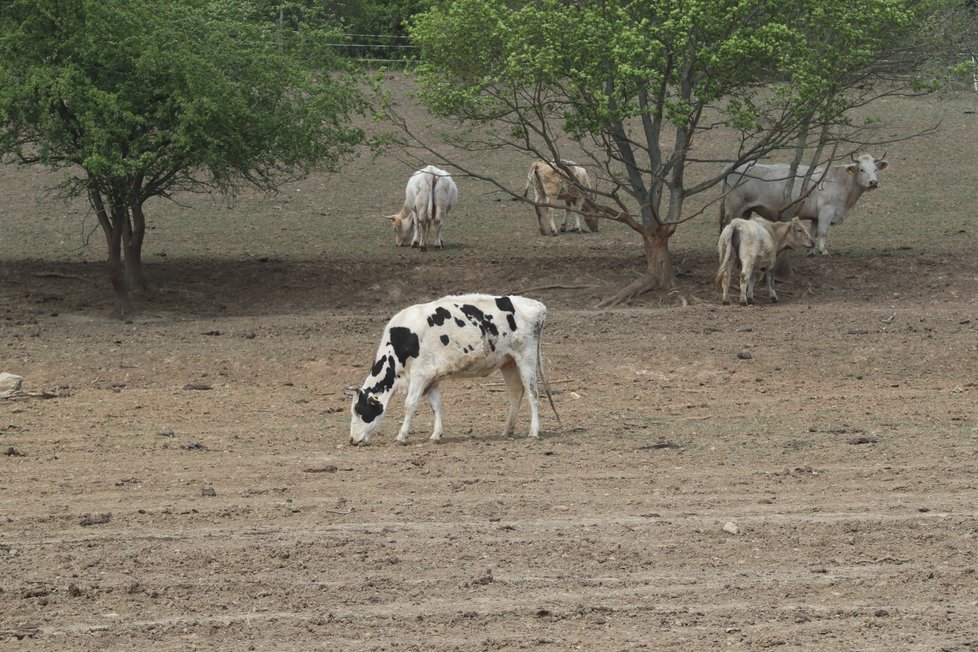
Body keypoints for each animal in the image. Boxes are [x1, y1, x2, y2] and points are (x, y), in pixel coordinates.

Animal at [348, 292, 556, 446]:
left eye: (359, 410)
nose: (352, 440)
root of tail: (537, 305)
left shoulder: (419, 375)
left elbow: (409, 405)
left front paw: (401, 436)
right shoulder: (431, 379)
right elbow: (436, 406)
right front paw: (436, 435)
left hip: (526, 357)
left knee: (532, 392)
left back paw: (534, 432)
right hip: (508, 362)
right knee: (516, 392)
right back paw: (506, 430)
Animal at [716, 152, 884, 255]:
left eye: (875, 169)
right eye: (861, 169)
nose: (873, 182)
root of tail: (733, 167)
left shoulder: (816, 216)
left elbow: (814, 233)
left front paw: (811, 251)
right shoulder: (826, 211)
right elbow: (823, 232)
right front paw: (823, 251)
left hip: (746, 209)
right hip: (734, 206)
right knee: (726, 224)